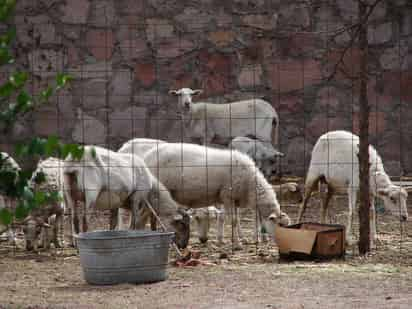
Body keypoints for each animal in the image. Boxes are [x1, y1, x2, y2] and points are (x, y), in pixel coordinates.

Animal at [143, 142, 292, 248]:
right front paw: (237, 244)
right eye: (280, 225)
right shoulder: (228, 196)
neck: (250, 183)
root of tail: (147, 156)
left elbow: (233, 220)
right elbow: (233, 221)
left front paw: (239, 239)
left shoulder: (233, 199)